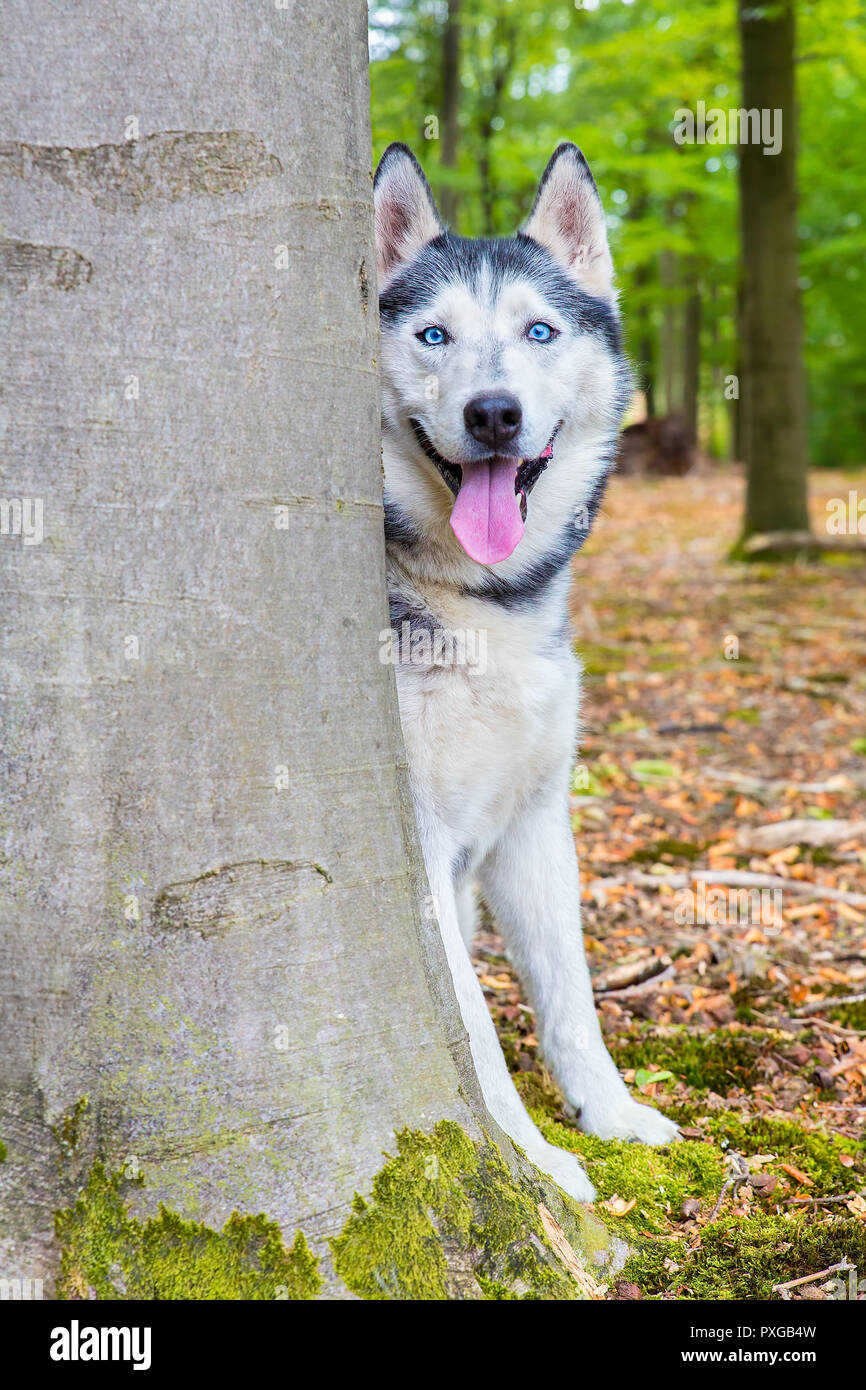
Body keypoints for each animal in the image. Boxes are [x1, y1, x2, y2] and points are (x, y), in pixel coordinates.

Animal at [372, 143, 678, 1206]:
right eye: (434, 335)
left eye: (538, 331)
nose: (494, 412)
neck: (486, 605)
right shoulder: (421, 854)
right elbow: (469, 1035)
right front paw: (535, 1160)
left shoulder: (535, 821)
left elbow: (572, 995)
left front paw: (610, 1115)